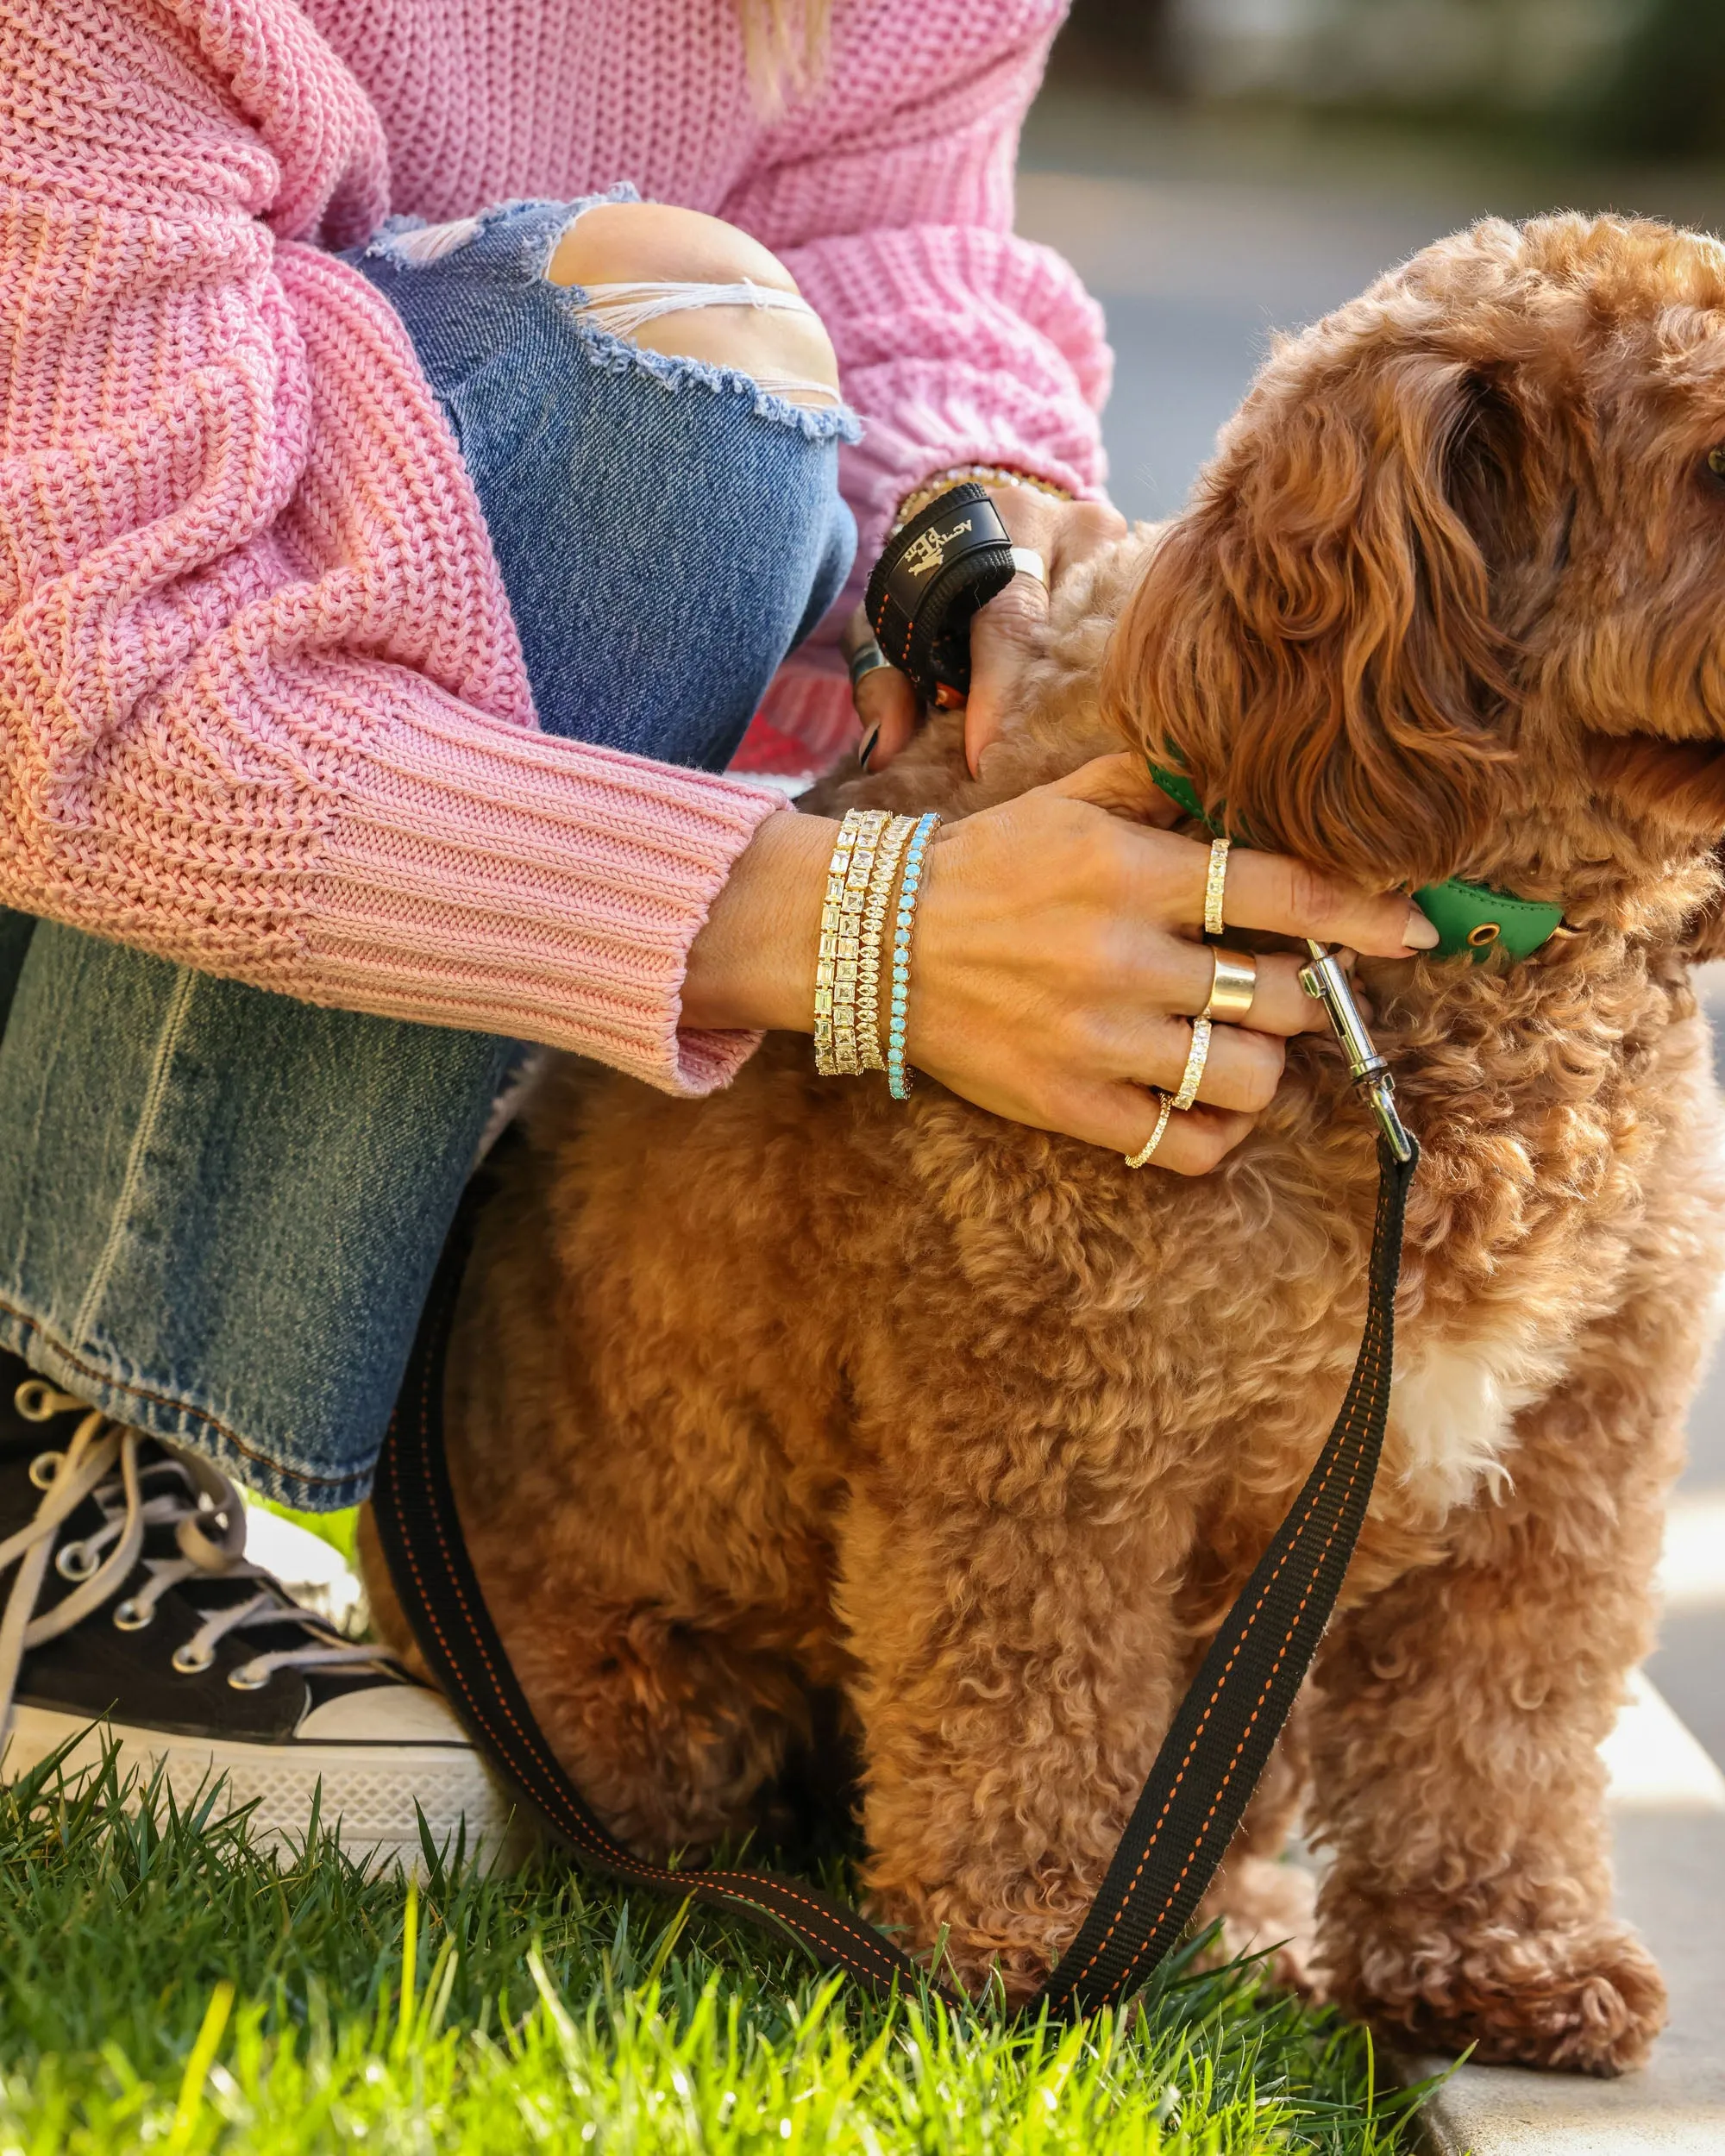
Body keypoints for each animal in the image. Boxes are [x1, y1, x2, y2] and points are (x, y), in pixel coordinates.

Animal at [360, 214, 1725, 2070]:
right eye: (1718, 463)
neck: (1478, 950)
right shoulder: (1045, 1439)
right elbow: (1031, 1695)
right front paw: (1031, 1949)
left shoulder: (1570, 1457)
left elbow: (1493, 1727)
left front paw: (1501, 1960)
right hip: (645, 1708)